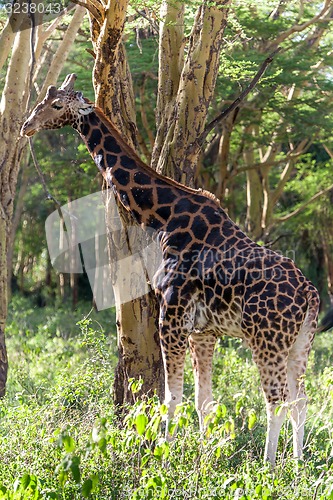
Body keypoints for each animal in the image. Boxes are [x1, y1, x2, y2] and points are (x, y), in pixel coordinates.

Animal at [21, 74, 320, 464]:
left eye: (57, 105)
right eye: (41, 102)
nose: (26, 126)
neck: (163, 216)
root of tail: (310, 294)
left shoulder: (172, 315)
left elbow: (171, 395)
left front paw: (165, 456)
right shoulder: (203, 331)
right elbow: (204, 400)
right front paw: (205, 458)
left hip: (266, 340)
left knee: (276, 400)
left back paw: (270, 468)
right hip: (300, 342)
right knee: (301, 399)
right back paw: (297, 465)